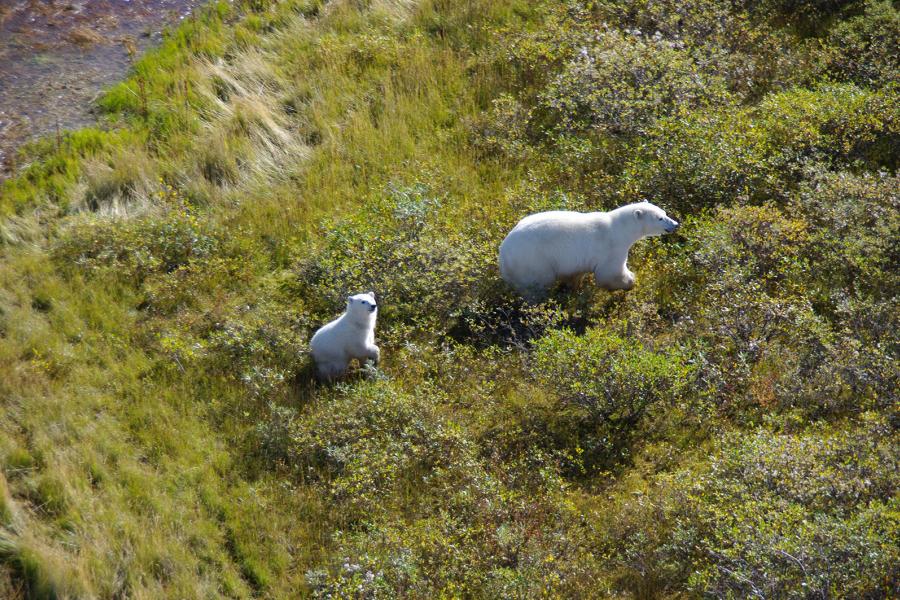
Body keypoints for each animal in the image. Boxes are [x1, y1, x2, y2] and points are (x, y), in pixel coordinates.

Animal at [498, 201, 679, 301]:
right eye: (660, 218)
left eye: (664, 212)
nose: (675, 224)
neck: (620, 228)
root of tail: (503, 256)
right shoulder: (610, 247)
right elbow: (609, 273)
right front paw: (630, 281)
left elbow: (575, 273)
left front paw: (575, 289)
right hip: (533, 261)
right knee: (537, 286)